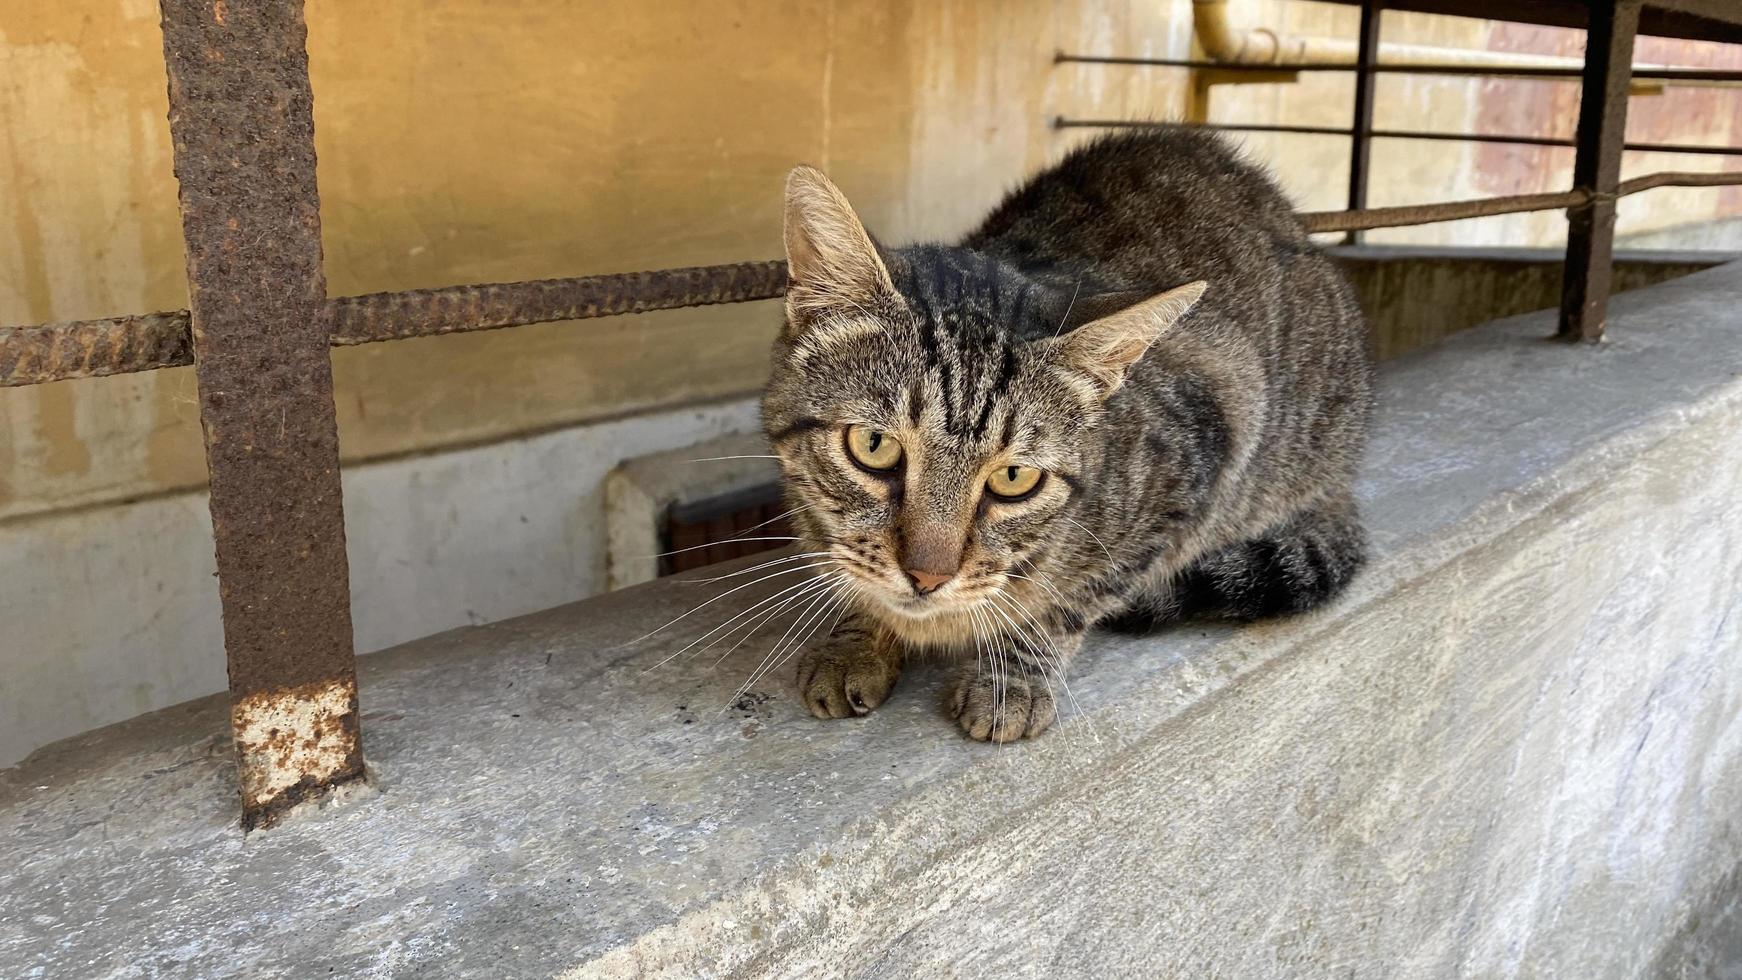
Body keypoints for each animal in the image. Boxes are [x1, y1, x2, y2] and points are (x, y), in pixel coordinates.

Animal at [762, 130, 1372, 745]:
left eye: (1014, 478)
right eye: (874, 446)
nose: (927, 576)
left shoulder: (1202, 464)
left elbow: (1071, 601)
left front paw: (1014, 675)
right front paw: (856, 637)